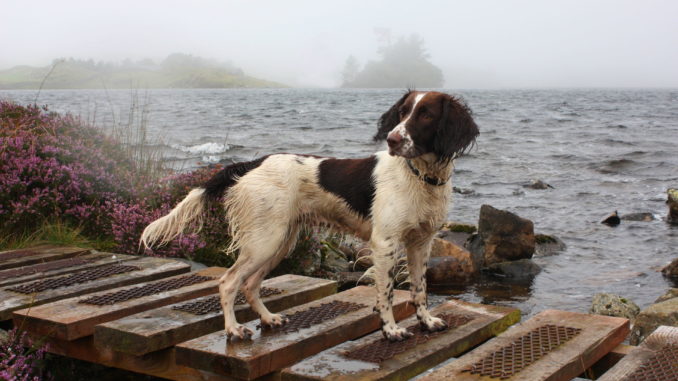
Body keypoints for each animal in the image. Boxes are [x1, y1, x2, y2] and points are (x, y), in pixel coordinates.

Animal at [139, 90, 478, 340]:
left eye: (426, 114)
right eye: (402, 112)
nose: (392, 140)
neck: (420, 177)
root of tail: (253, 163)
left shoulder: (421, 242)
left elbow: (420, 289)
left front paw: (427, 322)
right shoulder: (386, 243)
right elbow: (387, 292)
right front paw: (391, 330)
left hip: (280, 241)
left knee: (250, 285)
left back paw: (268, 319)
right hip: (264, 241)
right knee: (229, 282)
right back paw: (233, 329)